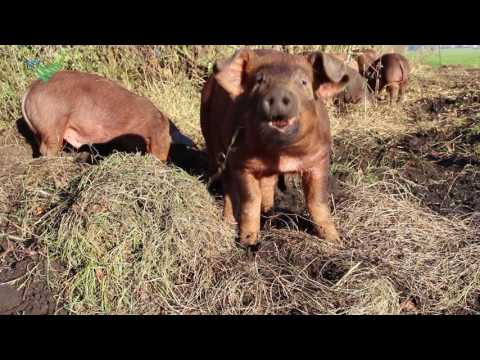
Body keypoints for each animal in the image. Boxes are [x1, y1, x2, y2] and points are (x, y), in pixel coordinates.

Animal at [201, 48, 350, 248]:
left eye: (303, 82)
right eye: (259, 81)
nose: (278, 95)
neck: (282, 153)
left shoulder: (320, 159)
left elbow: (316, 200)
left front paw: (336, 241)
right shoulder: (242, 163)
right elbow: (250, 201)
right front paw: (248, 243)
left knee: (267, 184)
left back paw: (269, 213)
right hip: (213, 142)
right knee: (228, 186)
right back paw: (229, 221)